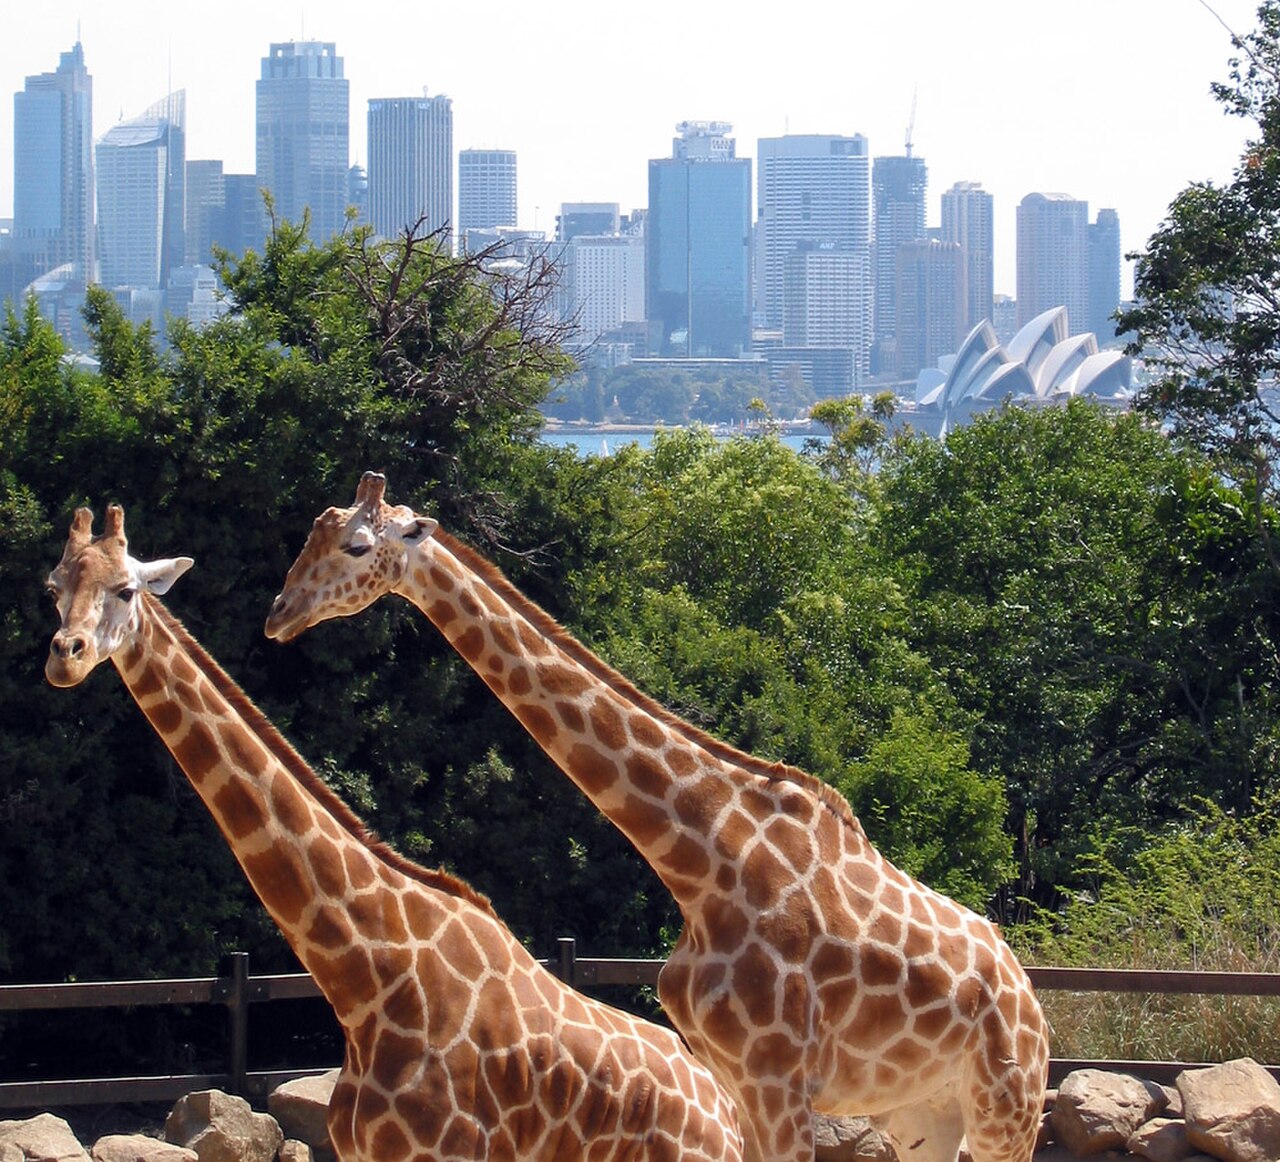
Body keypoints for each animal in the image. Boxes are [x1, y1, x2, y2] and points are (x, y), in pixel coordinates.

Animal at [45, 504, 747, 1162]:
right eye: (53, 585)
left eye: (125, 590)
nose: (65, 656)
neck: (370, 980)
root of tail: (726, 1112)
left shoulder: (444, 1152)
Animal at [267, 470, 1049, 1162]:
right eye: (313, 532)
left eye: (357, 547)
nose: (280, 614)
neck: (701, 860)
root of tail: (1031, 998)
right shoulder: (734, 1081)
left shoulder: (778, 1080)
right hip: (923, 1113)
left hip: (1006, 1106)